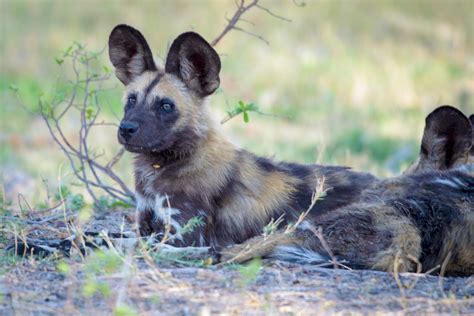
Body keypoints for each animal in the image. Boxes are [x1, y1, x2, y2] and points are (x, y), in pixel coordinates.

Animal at [108, 24, 378, 247]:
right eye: (131, 100)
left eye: (165, 106)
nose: (126, 129)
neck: (161, 165)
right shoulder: (143, 221)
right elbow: (111, 236)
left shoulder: (183, 236)